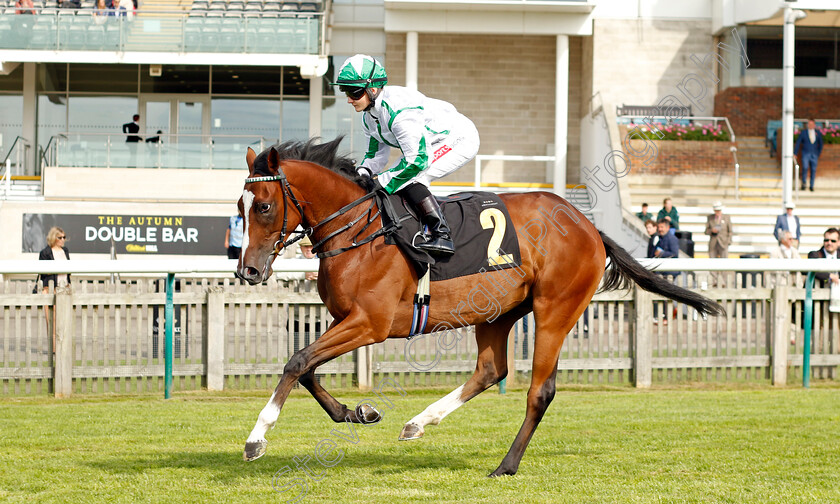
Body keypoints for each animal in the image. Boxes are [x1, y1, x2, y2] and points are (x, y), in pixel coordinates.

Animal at [235, 138, 720, 476]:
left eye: (264, 206)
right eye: (239, 205)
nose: (248, 271)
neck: (358, 232)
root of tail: (588, 224)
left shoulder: (369, 323)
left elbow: (297, 361)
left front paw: (256, 439)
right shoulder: (344, 318)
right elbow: (306, 366)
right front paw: (356, 412)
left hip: (555, 309)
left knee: (539, 391)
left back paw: (506, 464)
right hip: (499, 312)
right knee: (491, 370)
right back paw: (418, 423)